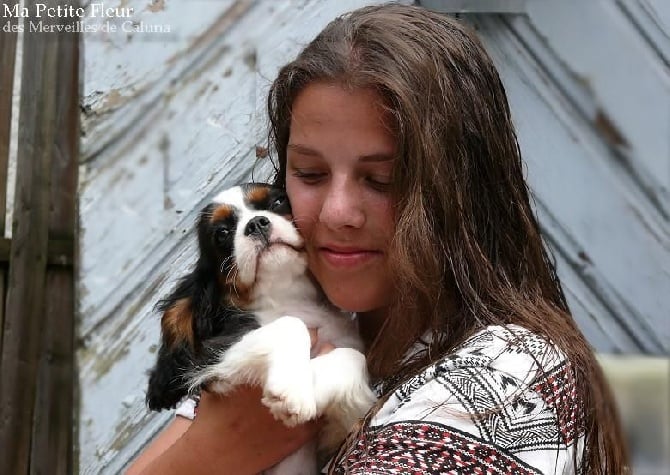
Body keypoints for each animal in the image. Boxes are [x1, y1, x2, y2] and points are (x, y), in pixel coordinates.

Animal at [148, 183, 378, 475]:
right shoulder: (211, 356)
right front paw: (292, 387)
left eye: (278, 201)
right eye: (222, 234)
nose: (256, 223)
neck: (288, 297)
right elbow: (291, 324)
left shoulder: (340, 428)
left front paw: (313, 381)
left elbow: (355, 357)